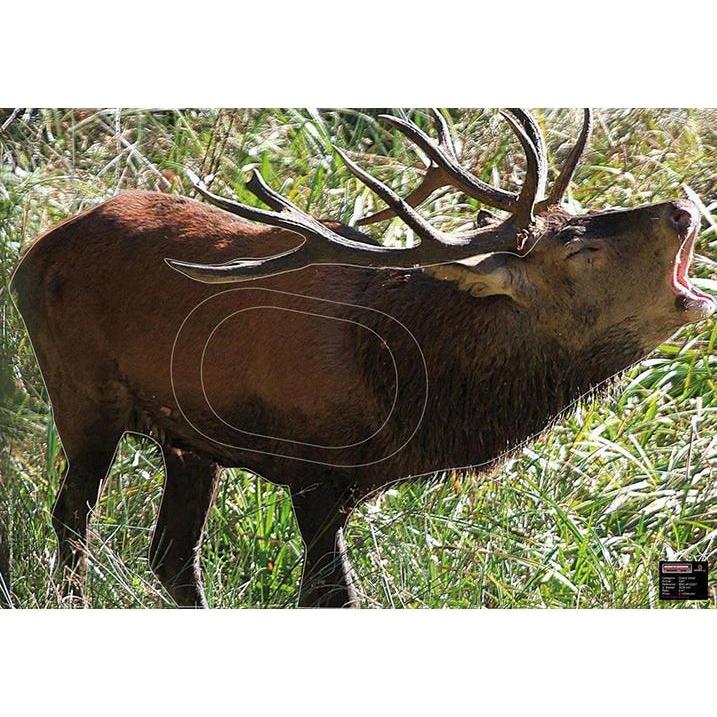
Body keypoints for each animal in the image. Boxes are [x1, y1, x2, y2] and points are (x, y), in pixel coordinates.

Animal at [10, 109, 715, 607]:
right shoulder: (313, 468)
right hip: (81, 391)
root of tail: (31, 256)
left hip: (188, 437)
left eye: (585, 213)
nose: (684, 208)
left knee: (171, 557)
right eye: (580, 251)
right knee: (72, 521)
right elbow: (335, 597)